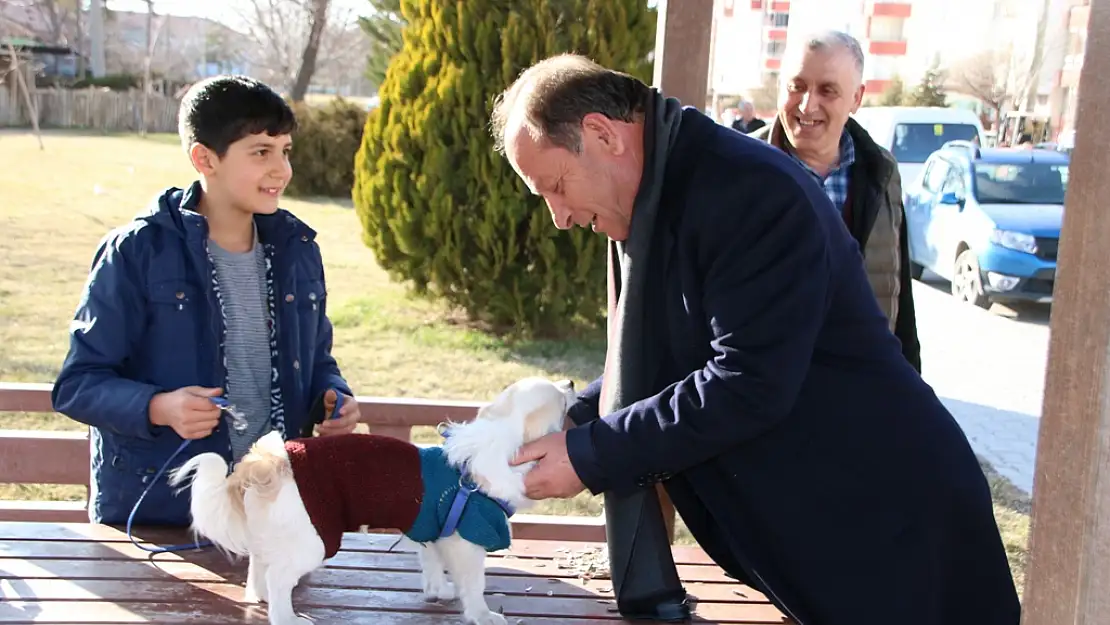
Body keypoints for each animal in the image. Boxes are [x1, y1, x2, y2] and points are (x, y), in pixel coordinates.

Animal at [170, 377, 581, 625]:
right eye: (561, 400)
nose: (572, 382)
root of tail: (267, 462)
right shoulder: (466, 540)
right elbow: (474, 584)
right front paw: (481, 614)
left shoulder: (431, 529)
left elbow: (432, 565)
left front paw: (438, 591)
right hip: (314, 542)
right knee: (277, 578)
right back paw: (285, 616)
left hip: (273, 536)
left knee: (259, 566)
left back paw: (258, 598)